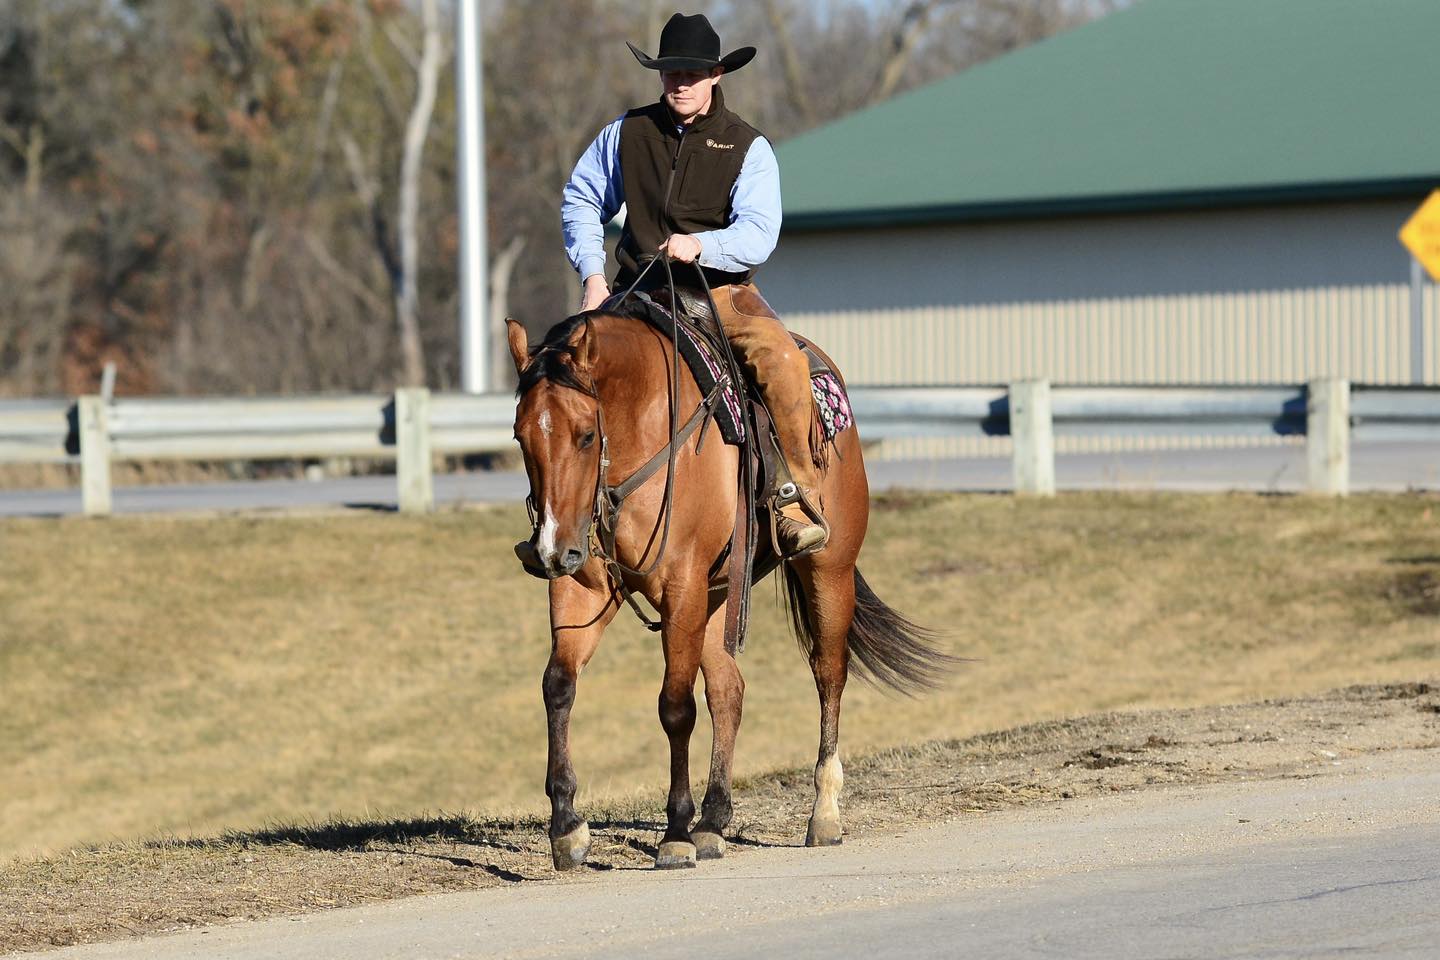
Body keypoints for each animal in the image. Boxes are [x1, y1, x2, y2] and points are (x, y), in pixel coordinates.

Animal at [505, 297, 951, 871]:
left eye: (585, 434)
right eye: (522, 437)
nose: (550, 551)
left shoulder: (682, 589)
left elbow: (675, 707)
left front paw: (675, 833)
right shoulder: (584, 586)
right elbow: (558, 686)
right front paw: (566, 827)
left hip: (827, 571)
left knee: (828, 674)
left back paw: (823, 813)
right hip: (718, 594)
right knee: (728, 690)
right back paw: (714, 821)